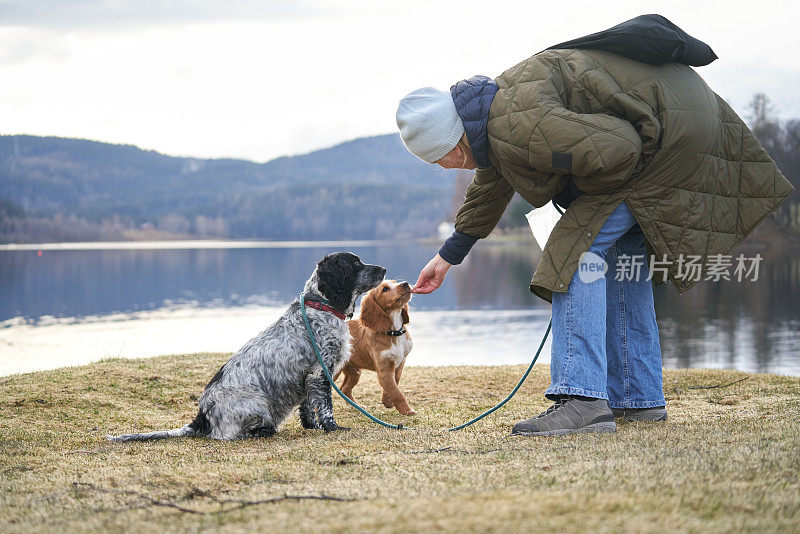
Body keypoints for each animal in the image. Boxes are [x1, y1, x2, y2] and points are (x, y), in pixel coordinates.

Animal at [108, 253, 384, 442]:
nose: (383, 268)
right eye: (355, 264)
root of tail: (201, 417)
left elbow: (308, 407)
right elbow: (325, 407)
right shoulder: (320, 371)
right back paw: (264, 430)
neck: (320, 307)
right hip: (258, 403)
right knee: (229, 434)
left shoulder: (310, 376)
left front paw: (313, 427)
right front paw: (333, 428)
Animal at [334, 282, 416, 416]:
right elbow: (396, 392)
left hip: (354, 371)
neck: (394, 333)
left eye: (395, 282)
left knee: (344, 389)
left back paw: (357, 407)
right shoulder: (384, 368)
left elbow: (394, 383)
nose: (405, 283)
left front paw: (387, 401)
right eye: (385, 289)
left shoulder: (400, 363)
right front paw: (407, 410)